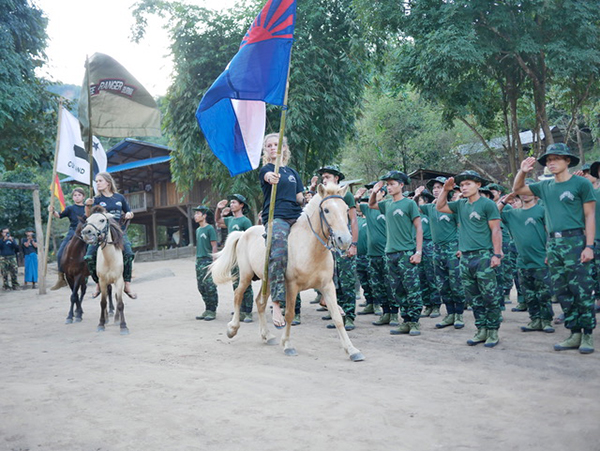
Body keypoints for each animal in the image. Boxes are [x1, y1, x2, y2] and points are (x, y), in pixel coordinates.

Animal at [81, 208, 129, 336]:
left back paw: (116, 319)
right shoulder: (102, 281)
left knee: (116, 297)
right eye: (87, 220)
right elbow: (103, 303)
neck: (109, 259)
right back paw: (107, 318)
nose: (86, 232)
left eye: (102, 220)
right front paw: (101, 324)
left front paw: (123, 326)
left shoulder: (119, 280)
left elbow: (120, 302)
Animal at [209, 184, 364, 364]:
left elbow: (337, 318)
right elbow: (290, 315)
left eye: (346, 209)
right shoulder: (292, 286)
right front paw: (288, 344)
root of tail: (243, 233)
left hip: (268, 280)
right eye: (326, 210)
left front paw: (352, 350)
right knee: (238, 295)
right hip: (246, 275)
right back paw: (232, 329)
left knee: (260, 302)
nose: (344, 240)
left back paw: (267, 335)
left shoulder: (327, 286)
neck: (310, 248)